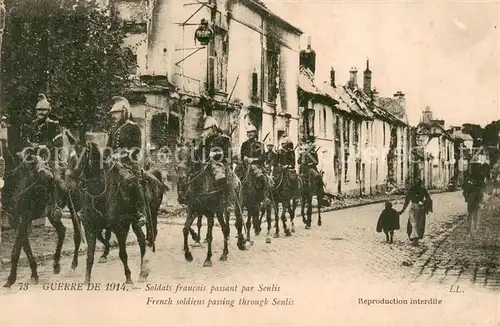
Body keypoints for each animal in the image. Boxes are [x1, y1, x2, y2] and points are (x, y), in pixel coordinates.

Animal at [2, 150, 80, 288]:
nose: (49, 176)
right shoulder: (17, 221)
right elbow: (24, 247)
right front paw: (32, 274)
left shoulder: (24, 219)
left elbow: (16, 250)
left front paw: (12, 278)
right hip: (51, 214)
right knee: (62, 230)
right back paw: (56, 264)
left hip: (73, 206)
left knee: (77, 233)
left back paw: (73, 264)